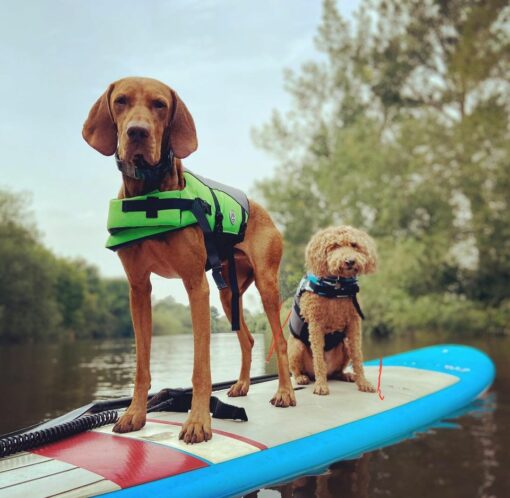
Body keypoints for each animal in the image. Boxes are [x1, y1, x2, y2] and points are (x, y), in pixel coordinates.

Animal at [81, 76, 292, 442]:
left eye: (160, 104)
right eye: (121, 101)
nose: (137, 132)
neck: (151, 196)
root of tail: (263, 211)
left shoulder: (196, 285)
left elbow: (200, 368)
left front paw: (197, 422)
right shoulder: (138, 289)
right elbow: (141, 366)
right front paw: (135, 414)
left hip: (266, 286)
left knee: (278, 341)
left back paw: (285, 393)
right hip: (227, 293)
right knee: (249, 339)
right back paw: (241, 385)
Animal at [288, 227, 376, 396]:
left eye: (354, 245)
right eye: (334, 246)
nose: (350, 261)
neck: (337, 287)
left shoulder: (354, 323)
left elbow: (358, 357)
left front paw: (363, 383)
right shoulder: (315, 324)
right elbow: (318, 359)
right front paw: (321, 386)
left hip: (345, 344)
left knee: (337, 372)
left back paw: (347, 375)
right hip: (296, 346)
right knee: (297, 370)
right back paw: (302, 378)